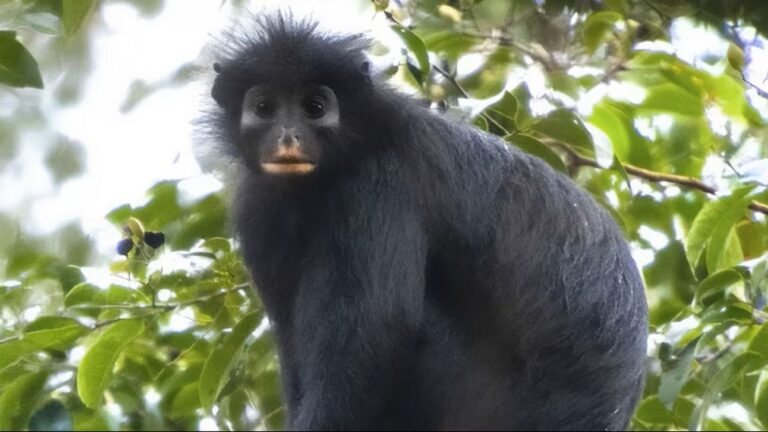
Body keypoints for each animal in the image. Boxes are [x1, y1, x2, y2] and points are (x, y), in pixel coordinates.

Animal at [203, 13, 648, 431]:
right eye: (265, 108)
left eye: (315, 108)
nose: (288, 136)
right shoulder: (259, 209)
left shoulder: (379, 182)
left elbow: (376, 330)